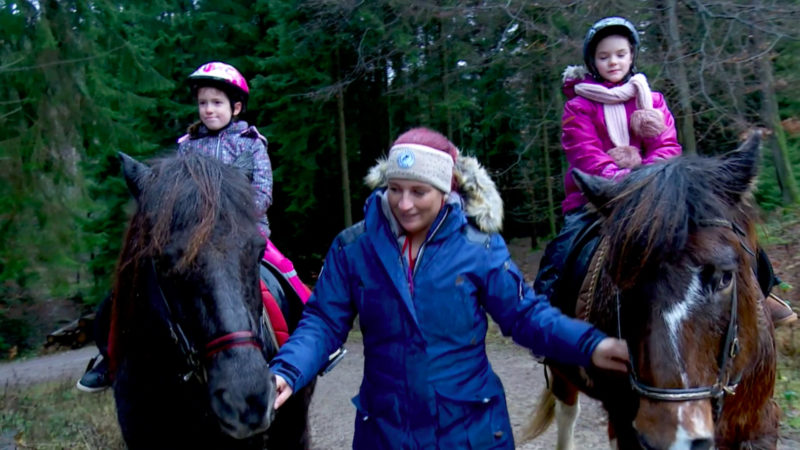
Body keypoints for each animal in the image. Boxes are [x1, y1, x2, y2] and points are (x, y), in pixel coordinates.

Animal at [524, 134, 780, 450]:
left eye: (724, 277)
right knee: (567, 415)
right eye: (619, 280)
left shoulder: (761, 426)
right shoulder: (626, 425)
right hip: (563, 374)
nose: (672, 438)